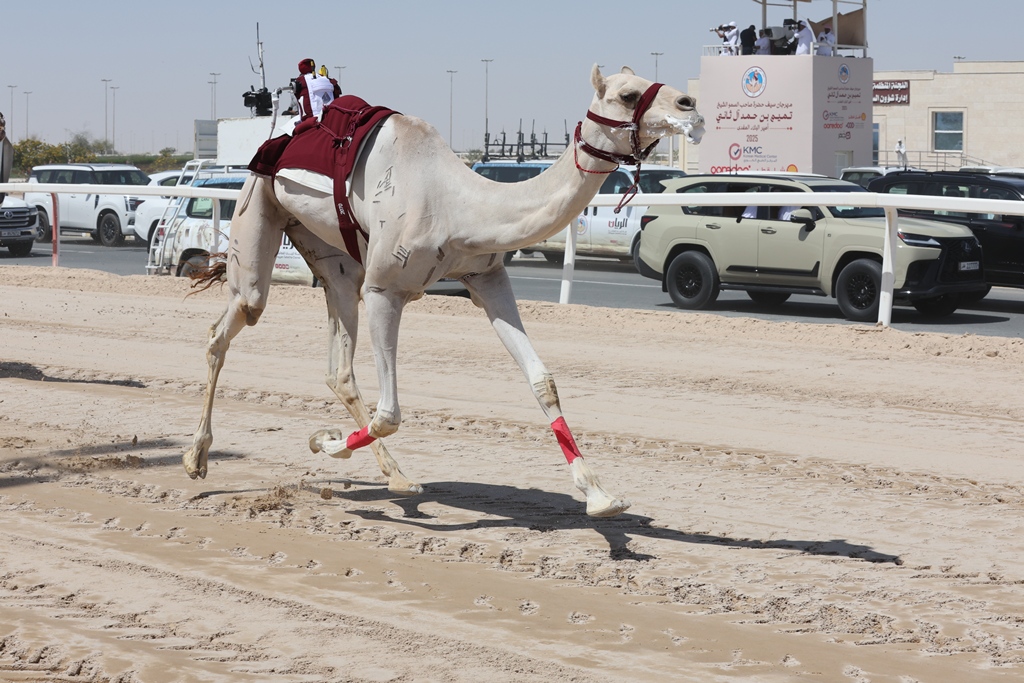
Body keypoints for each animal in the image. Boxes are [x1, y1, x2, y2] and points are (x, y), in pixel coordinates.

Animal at [184, 65, 704, 517]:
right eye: (627, 95)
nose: (691, 104)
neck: (458, 206)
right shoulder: (385, 289)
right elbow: (390, 413)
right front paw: (324, 442)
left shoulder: (487, 278)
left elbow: (544, 382)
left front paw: (600, 495)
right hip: (260, 205)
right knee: (229, 325)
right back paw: (196, 459)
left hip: (332, 258)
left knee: (339, 367)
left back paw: (397, 476)